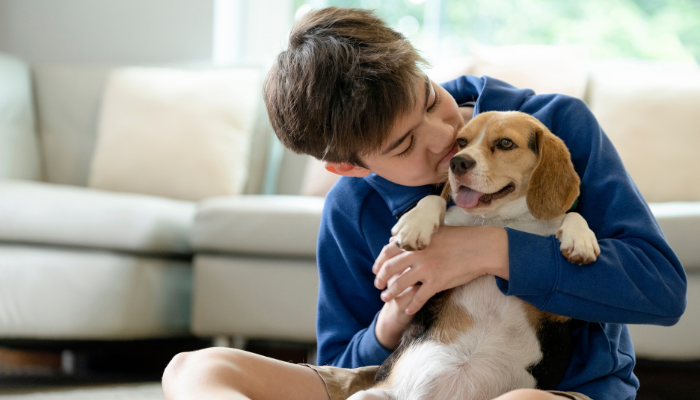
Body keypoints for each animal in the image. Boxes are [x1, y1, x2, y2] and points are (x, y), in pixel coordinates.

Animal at [350, 110, 600, 400]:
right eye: (461, 142)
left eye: (505, 143)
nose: (457, 162)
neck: (501, 220)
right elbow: (436, 200)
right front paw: (414, 223)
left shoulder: (556, 313)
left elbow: (572, 215)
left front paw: (581, 239)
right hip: (367, 395)